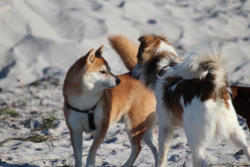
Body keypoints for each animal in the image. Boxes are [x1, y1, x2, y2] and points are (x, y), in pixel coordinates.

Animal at [109, 34, 250, 166]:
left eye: (138, 57)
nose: (130, 73)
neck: (165, 67)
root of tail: (212, 90)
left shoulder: (166, 126)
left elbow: (161, 156)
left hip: (194, 137)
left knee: (202, 159)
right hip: (234, 131)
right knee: (246, 147)